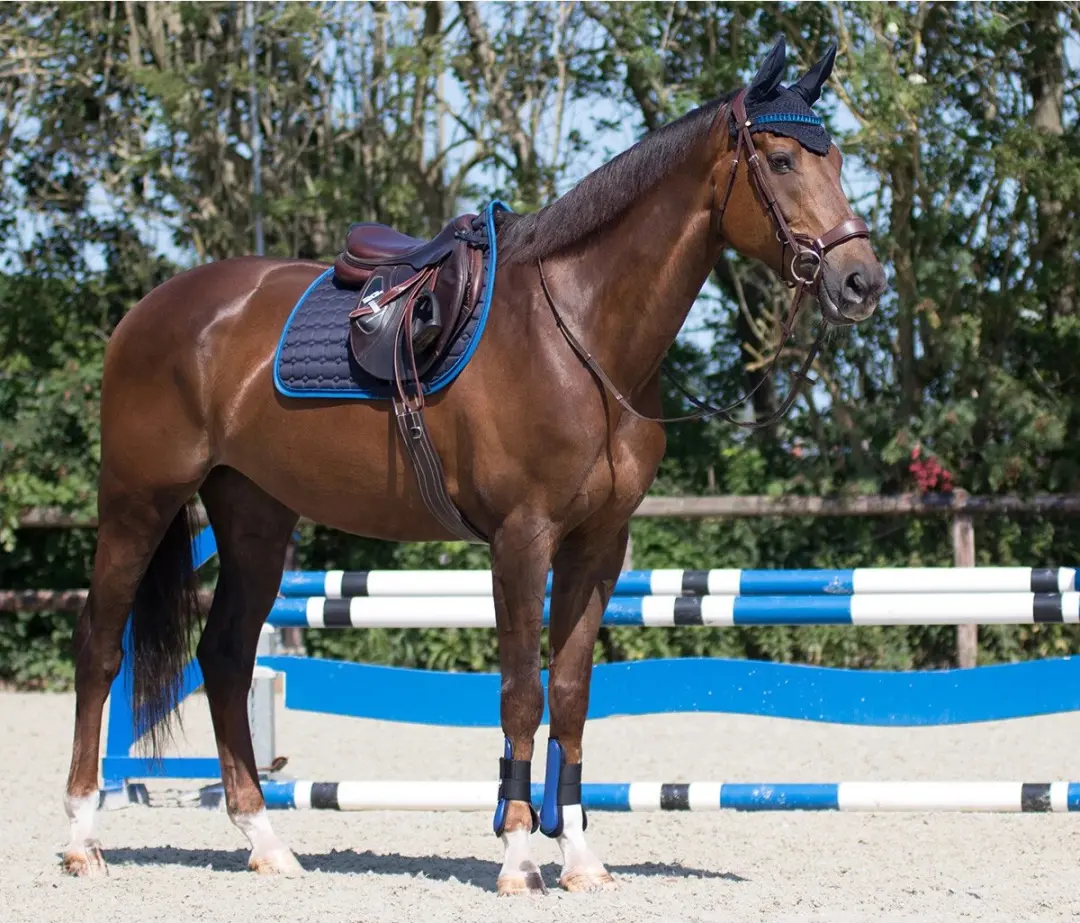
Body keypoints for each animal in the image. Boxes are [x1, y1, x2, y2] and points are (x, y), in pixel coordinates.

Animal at [62, 37, 886, 894]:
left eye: (836, 159)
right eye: (783, 159)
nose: (862, 280)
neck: (578, 332)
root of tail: (149, 310)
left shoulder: (597, 544)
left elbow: (571, 692)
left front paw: (580, 859)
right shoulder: (521, 539)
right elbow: (521, 693)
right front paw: (520, 856)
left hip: (254, 514)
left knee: (224, 656)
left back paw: (267, 841)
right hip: (140, 500)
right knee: (100, 644)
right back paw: (84, 837)